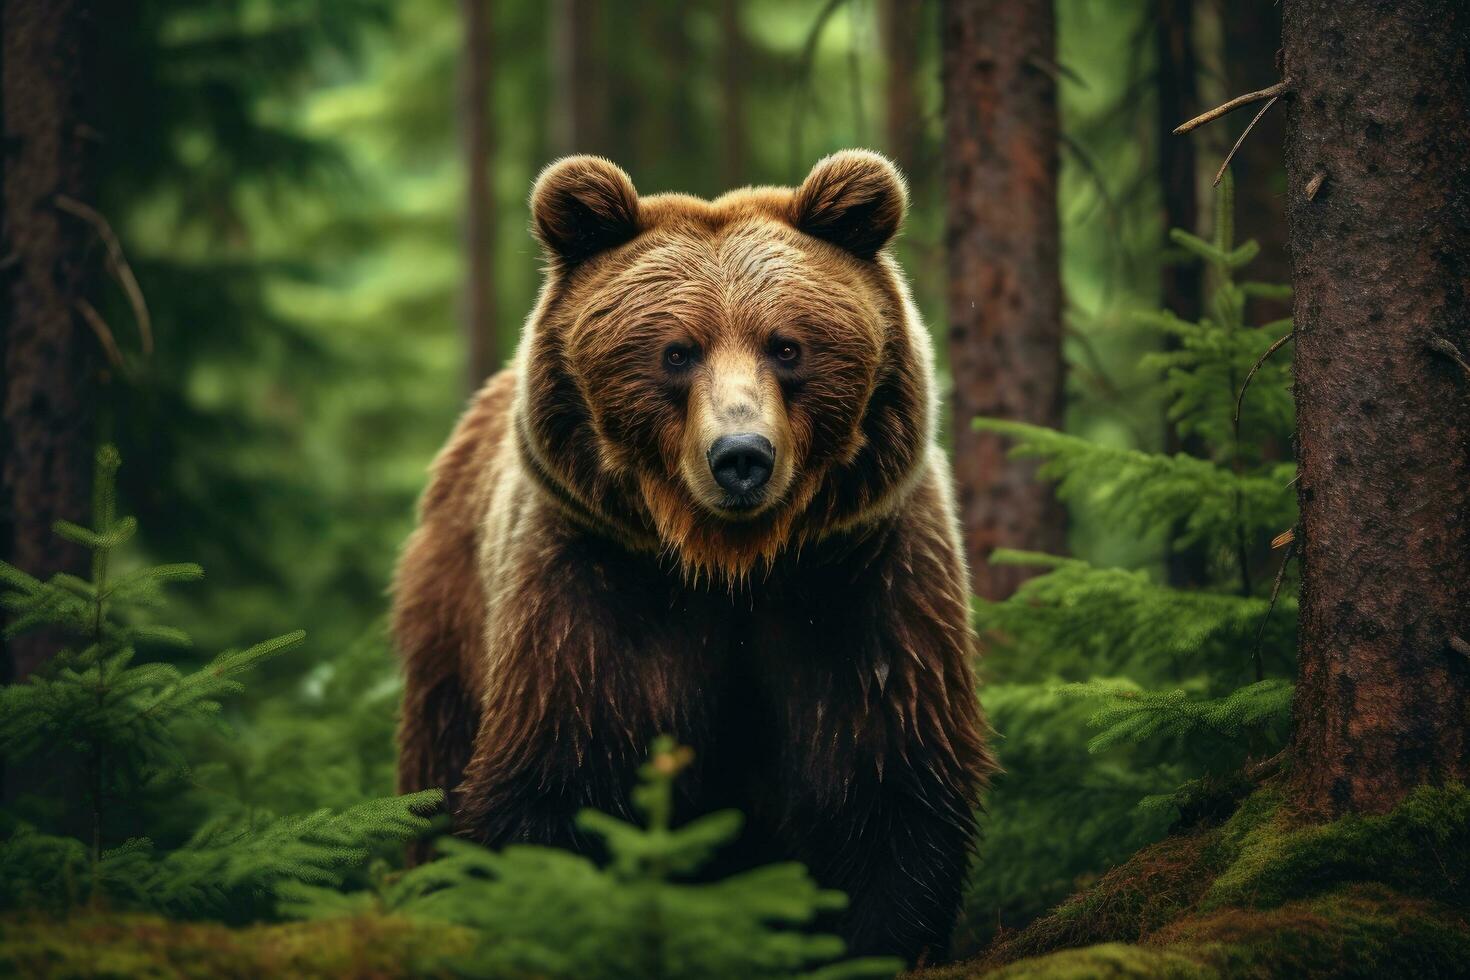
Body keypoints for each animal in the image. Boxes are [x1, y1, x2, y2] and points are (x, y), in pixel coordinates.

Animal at [393, 149, 987, 963]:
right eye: (677, 351)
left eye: (786, 345)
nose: (741, 457)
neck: (730, 564)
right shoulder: (590, 591)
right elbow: (552, 780)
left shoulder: (859, 580)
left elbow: (887, 777)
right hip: (454, 616)